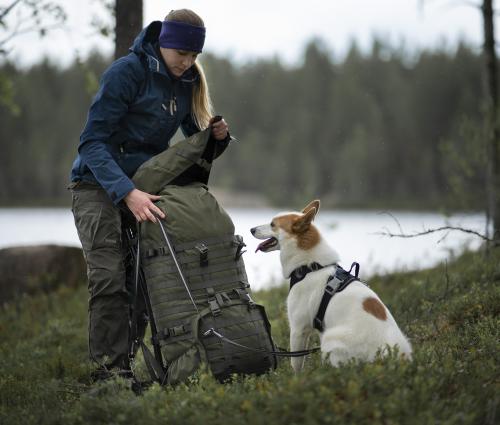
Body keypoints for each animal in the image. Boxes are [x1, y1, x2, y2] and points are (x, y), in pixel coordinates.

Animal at [250, 200, 410, 370]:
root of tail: (391, 358)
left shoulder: (298, 329)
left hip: (330, 338)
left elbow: (296, 365)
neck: (311, 267)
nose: (251, 229)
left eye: (272, 224)